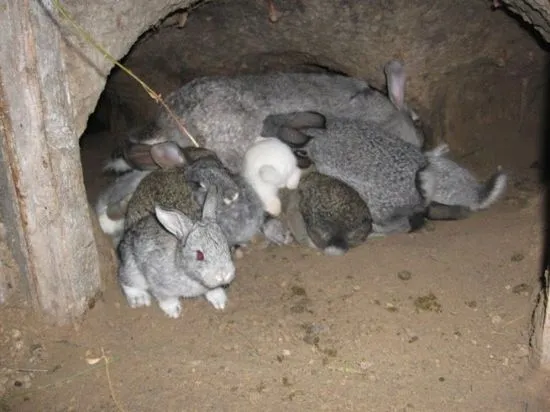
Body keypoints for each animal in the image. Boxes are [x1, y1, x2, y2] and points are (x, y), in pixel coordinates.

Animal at [118, 187, 235, 318]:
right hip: (132, 268)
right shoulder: (158, 284)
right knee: (126, 280)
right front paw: (174, 311)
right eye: (199, 255)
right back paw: (139, 299)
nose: (224, 275)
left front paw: (220, 302)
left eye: (228, 247)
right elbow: (166, 298)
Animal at [268, 111, 440, 237]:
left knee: (401, 226)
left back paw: (374, 232)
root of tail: (423, 182)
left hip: (381, 210)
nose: (268, 120)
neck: (317, 135)